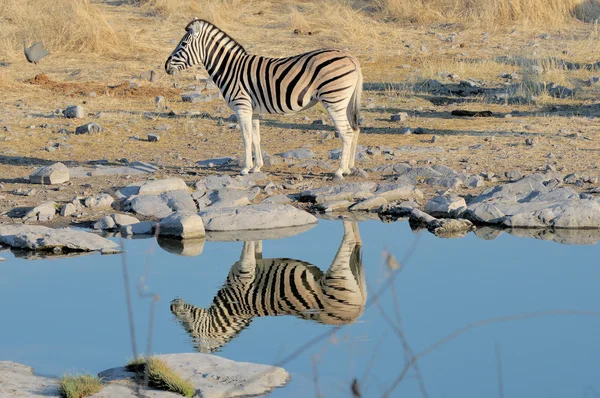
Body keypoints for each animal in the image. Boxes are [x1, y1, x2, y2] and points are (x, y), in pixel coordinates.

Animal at [164, 19, 360, 180]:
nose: (166, 66)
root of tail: (352, 57)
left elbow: (245, 137)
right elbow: (256, 137)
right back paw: (350, 168)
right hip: (345, 101)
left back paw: (339, 171)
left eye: (183, 44)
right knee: (355, 129)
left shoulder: (242, 106)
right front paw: (257, 167)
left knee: (346, 132)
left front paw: (245, 168)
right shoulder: (254, 110)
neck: (230, 69)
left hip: (334, 100)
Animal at [170, 221, 366, 354]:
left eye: (188, 328)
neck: (231, 307)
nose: (171, 307)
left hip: (337, 274)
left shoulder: (245, 271)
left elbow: (247, 245)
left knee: (350, 239)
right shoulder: (255, 261)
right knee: (357, 241)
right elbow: (256, 244)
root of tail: (357, 313)